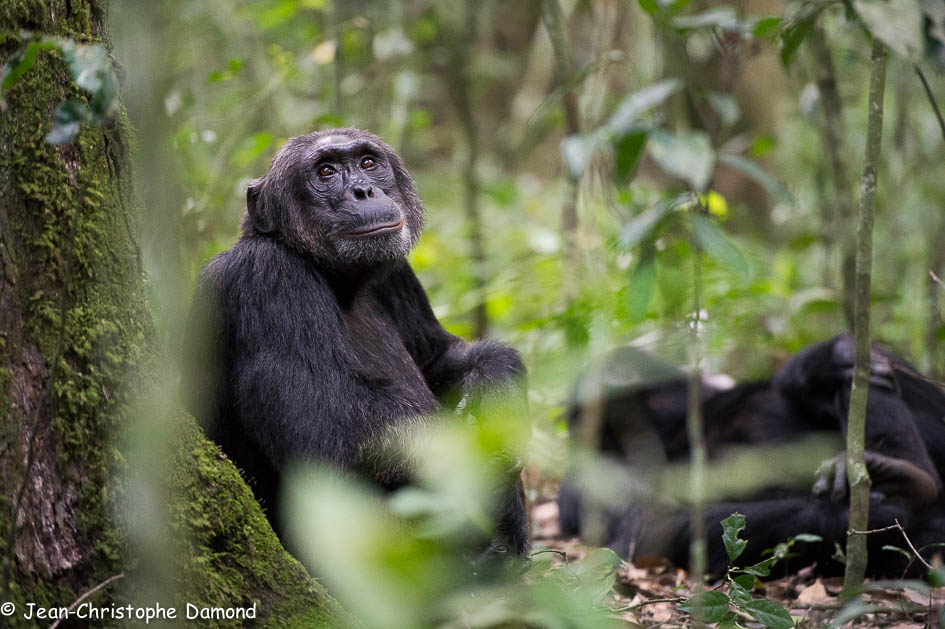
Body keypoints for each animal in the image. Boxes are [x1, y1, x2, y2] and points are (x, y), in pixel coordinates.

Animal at [181, 126, 528, 556]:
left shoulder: (398, 275)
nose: (363, 190)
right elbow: (326, 420)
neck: (341, 280)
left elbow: (441, 357)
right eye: (326, 172)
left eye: (367, 162)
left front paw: (496, 391)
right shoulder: (266, 278)